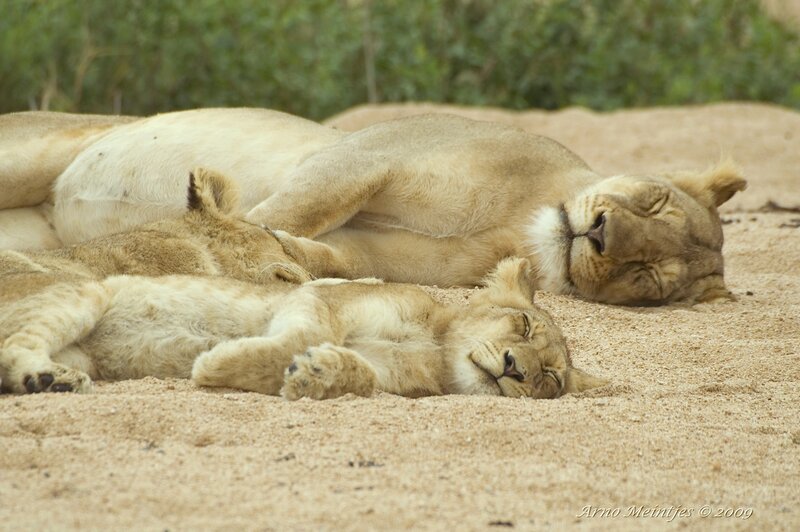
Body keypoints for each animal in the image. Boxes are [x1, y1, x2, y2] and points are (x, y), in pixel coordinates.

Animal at [0, 108, 747, 305]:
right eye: (652, 199)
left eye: (646, 280)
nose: (597, 236)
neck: (520, 226)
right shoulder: (365, 156)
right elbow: (282, 213)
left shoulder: (381, 250)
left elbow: (319, 251)